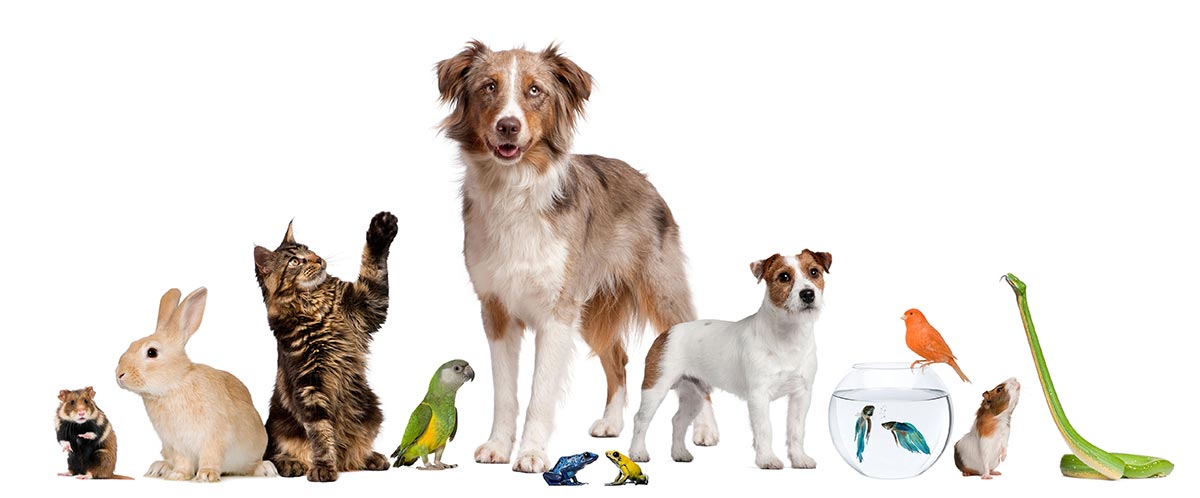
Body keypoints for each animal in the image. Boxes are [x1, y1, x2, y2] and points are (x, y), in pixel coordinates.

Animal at [115, 288, 277, 484]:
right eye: (131, 344)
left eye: (152, 352)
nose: (119, 374)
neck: (176, 384)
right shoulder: (177, 445)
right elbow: (183, 462)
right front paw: (177, 475)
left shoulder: (214, 438)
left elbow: (210, 457)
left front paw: (206, 475)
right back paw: (159, 468)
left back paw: (266, 469)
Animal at [252, 211, 398, 484]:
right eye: (295, 261)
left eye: (309, 250)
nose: (318, 260)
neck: (317, 308)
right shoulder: (309, 383)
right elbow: (321, 433)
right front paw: (323, 466)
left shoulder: (368, 302)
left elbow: (373, 265)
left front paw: (381, 229)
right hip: (277, 426)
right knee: (272, 454)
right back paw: (291, 464)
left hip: (371, 408)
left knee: (354, 453)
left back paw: (370, 457)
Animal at [441, 40, 720, 472]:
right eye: (489, 86)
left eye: (534, 90)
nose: (508, 126)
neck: (514, 191)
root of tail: (645, 180)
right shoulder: (496, 310)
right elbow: (504, 392)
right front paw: (498, 447)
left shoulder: (556, 312)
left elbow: (539, 393)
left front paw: (532, 453)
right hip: (592, 308)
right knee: (619, 358)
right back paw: (612, 422)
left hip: (661, 291)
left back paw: (706, 429)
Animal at [628, 252, 835, 470]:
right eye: (784, 277)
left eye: (814, 272)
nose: (808, 294)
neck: (789, 336)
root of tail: (667, 332)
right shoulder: (758, 396)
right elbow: (765, 429)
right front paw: (767, 459)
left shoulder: (801, 395)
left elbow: (796, 429)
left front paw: (799, 458)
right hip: (655, 388)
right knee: (640, 419)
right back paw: (637, 452)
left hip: (694, 396)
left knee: (678, 421)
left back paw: (679, 453)